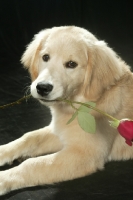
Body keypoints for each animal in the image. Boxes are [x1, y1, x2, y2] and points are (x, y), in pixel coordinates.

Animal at [0, 25, 133, 195]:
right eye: (45, 57)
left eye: (71, 64)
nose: (42, 87)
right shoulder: (61, 131)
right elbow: (29, 138)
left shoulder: (85, 154)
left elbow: (33, 164)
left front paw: (2, 179)